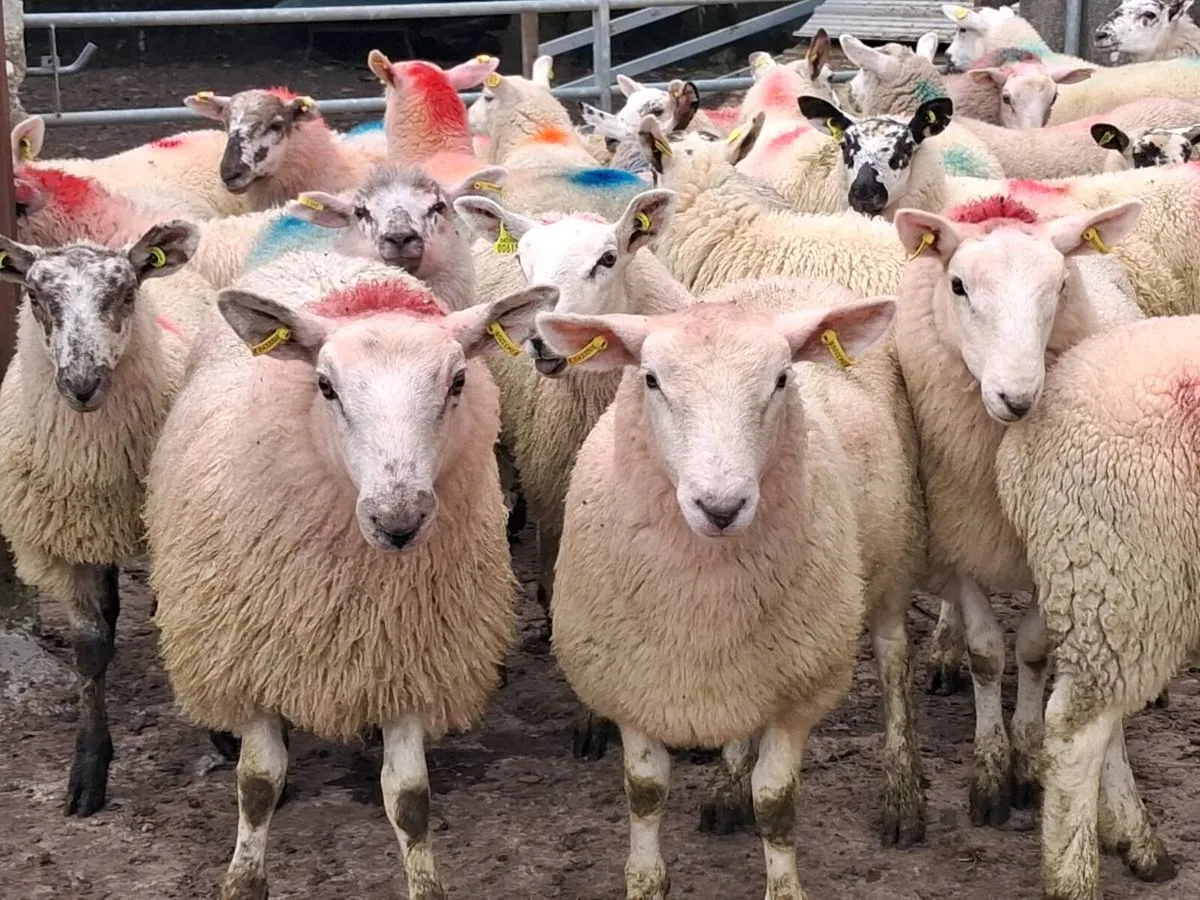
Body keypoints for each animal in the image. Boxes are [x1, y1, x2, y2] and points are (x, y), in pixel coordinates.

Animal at [0, 221, 213, 817]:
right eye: (35, 296)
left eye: (124, 293)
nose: (81, 383)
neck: (92, 460)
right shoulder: (65, 543)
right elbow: (89, 649)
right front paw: (89, 768)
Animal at [146, 250, 558, 900]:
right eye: (325, 386)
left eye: (458, 382)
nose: (398, 519)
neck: (357, 587)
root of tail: (323, 256)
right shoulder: (248, 660)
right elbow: (257, 785)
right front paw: (243, 878)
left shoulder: (412, 664)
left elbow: (410, 799)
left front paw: (424, 882)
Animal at [538, 286, 917, 898]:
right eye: (650, 380)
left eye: (783, 378)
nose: (721, 507)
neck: (706, 609)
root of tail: (784, 279)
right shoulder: (632, 685)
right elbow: (645, 793)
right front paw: (646, 881)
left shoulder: (801, 693)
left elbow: (777, 804)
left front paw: (784, 887)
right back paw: (729, 789)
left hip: (893, 559)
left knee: (893, 666)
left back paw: (903, 794)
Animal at [888, 193, 1145, 827]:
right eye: (957, 285)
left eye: (1061, 286)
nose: (1018, 397)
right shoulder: (960, 529)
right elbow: (986, 653)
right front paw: (989, 776)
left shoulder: (1049, 548)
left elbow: (1032, 652)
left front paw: (1028, 763)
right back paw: (944, 653)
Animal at [993, 314, 1196, 900]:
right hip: (1128, 571)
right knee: (1074, 731)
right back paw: (1073, 876)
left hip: (1110, 598)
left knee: (1105, 717)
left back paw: (1136, 838)